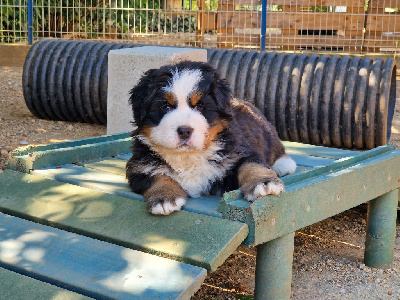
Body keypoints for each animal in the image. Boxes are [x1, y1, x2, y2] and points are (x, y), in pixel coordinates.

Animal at [126, 61, 296, 216]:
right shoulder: (140, 165)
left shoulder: (239, 152)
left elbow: (251, 165)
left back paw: (284, 165)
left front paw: (264, 182)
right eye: (165, 106)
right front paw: (164, 197)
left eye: (200, 106)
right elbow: (157, 176)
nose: (184, 130)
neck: (188, 157)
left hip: (268, 132)